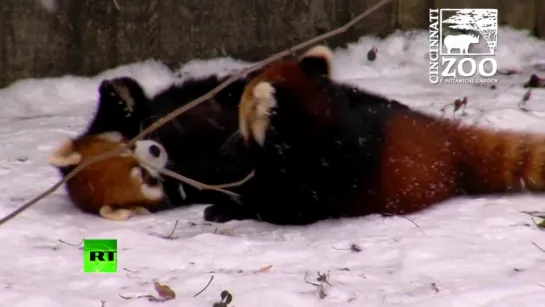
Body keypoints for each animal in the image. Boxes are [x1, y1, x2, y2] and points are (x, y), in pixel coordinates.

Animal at [204, 44, 545, 226]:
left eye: (244, 129)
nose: (225, 146)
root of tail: (449, 140)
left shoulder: (320, 173)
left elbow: (286, 207)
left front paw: (230, 209)